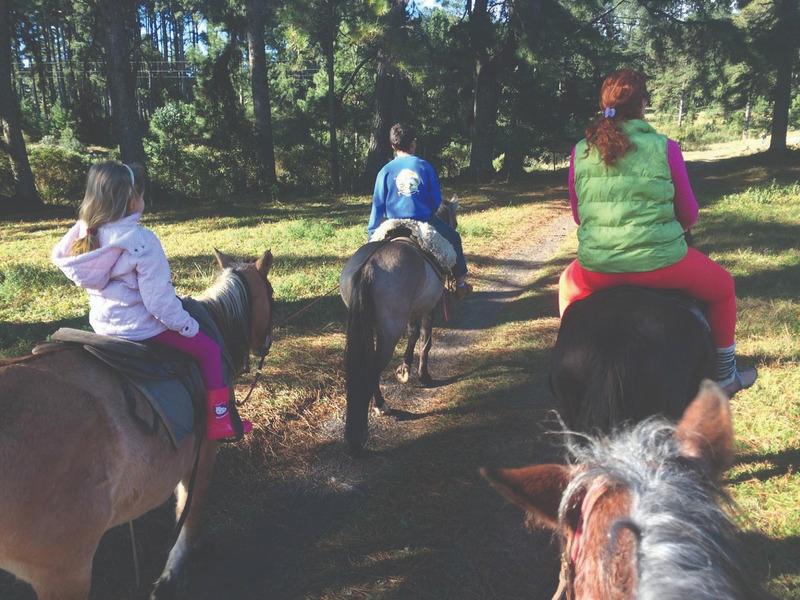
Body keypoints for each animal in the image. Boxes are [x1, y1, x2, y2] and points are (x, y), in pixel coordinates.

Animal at [0, 248, 276, 600]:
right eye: (272, 294)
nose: (265, 344)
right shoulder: (204, 456)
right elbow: (189, 511)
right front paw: (173, 571)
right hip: (65, 571)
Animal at [340, 199, 460, 452]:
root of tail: (370, 265)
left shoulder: (411, 311)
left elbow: (413, 335)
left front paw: (405, 368)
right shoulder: (428, 308)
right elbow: (425, 341)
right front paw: (423, 375)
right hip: (390, 330)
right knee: (373, 367)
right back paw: (379, 407)